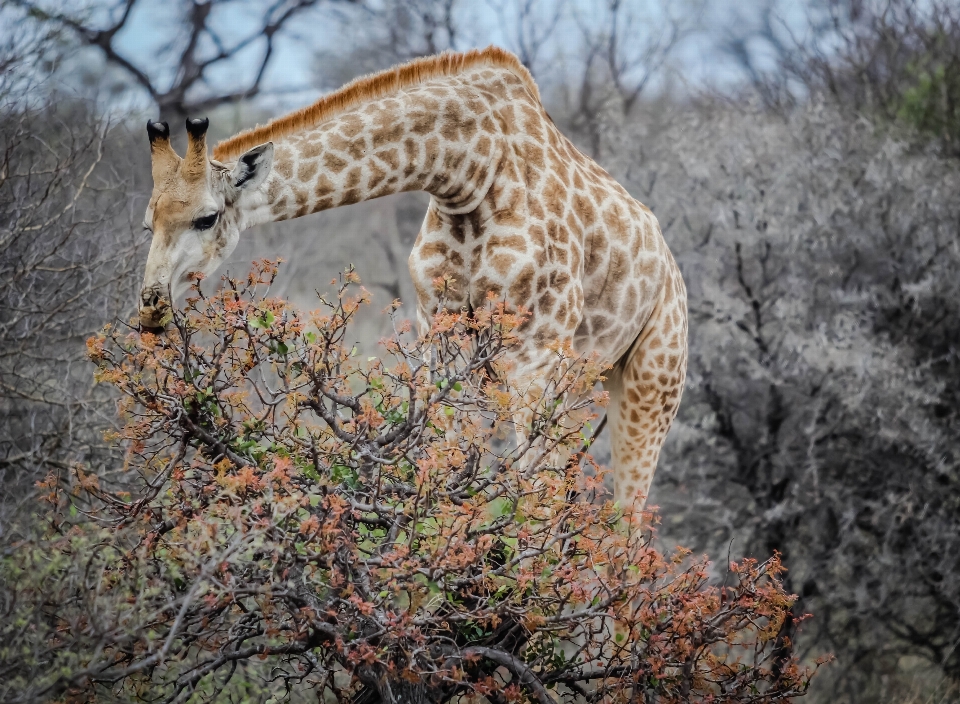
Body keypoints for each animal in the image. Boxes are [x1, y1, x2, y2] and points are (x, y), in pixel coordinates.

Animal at [139, 45, 688, 512]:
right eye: (148, 223)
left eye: (207, 218)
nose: (151, 308)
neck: (469, 172)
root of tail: (670, 263)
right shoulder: (439, 330)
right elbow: (442, 460)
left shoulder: (535, 349)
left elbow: (530, 495)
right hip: (584, 378)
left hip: (652, 380)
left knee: (625, 518)